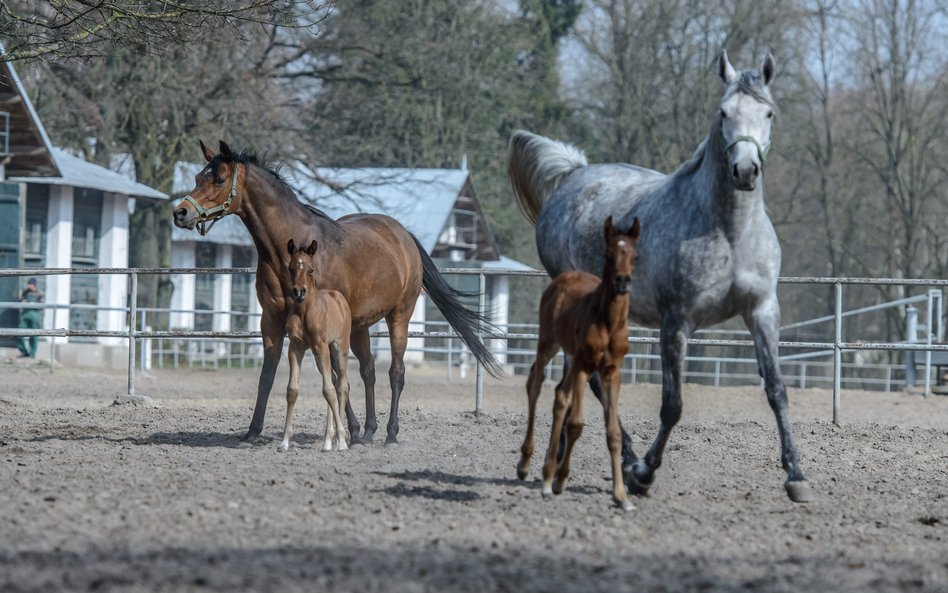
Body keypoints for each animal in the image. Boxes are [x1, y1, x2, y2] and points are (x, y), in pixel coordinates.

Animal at [284, 238, 354, 450]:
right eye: (291, 267)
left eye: (311, 269)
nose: (299, 292)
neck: (305, 311)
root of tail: (339, 297)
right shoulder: (295, 348)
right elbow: (292, 390)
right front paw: (284, 441)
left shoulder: (320, 346)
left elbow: (328, 391)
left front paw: (342, 439)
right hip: (322, 353)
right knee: (333, 381)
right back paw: (327, 440)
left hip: (339, 347)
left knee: (342, 385)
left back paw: (338, 440)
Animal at [516, 215, 640, 512]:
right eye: (607, 254)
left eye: (636, 256)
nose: (622, 282)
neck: (608, 321)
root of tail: (563, 277)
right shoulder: (585, 365)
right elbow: (575, 424)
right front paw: (559, 481)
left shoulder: (611, 371)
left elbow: (613, 432)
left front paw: (621, 496)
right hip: (549, 343)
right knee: (535, 381)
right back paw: (527, 464)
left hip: (571, 356)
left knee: (560, 394)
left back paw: (547, 471)